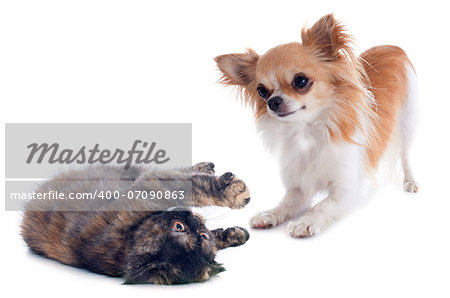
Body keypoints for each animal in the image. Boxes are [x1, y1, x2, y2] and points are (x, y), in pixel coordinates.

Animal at [21, 162, 251, 286]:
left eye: (202, 237)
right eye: (178, 227)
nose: (193, 220)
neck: (128, 241)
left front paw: (235, 234)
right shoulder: (151, 185)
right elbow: (196, 188)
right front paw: (234, 193)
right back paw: (207, 167)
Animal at [214, 13, 418, 237]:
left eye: (301, 81)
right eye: (262, 91)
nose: (273, 101)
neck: (307, 130)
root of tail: (392, 47)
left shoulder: (346, 189)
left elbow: (323, 205)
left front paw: (305, 221)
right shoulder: (299, 188)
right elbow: (285, 204)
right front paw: (270, 214)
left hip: (407, 122)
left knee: (405, 156)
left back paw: (410, 182)